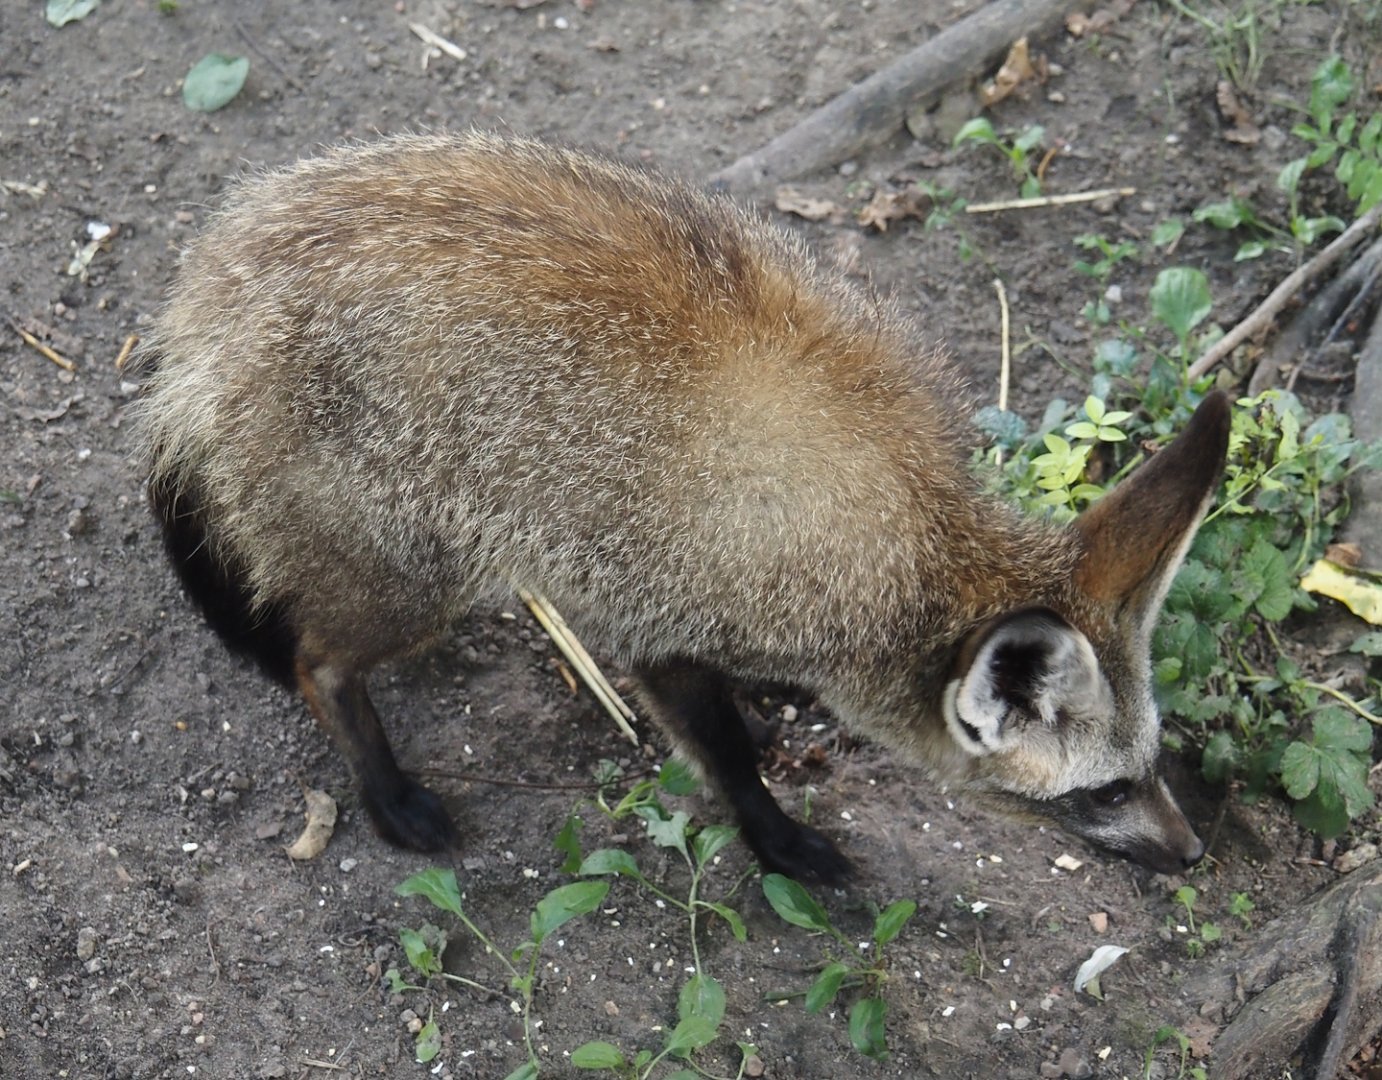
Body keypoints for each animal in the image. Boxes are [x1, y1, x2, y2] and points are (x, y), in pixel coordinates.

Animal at [139, 132, 1229, 884]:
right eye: (1107, 791)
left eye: (1154, 763)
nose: (1192, 852)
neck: (905, 535)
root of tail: (204, 291)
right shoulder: (660, 623)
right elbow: (729, 759)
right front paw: (776, 836)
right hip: (414, 577)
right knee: (317, 664)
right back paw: (385, 787)